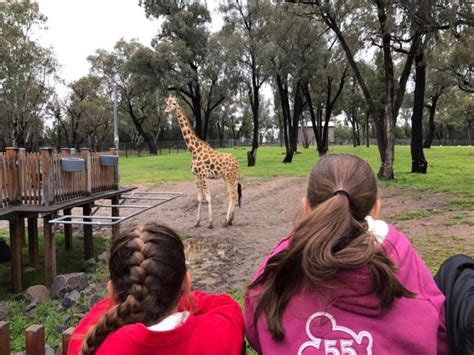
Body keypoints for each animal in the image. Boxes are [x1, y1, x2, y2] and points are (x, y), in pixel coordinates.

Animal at [166, 94, 241, 228]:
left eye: (174, 103)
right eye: (167, 102)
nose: (166, 110)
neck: (194, 150)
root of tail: (237, 163)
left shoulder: (203, 175)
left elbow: (208, 197)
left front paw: (210, 223)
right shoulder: (196, 176)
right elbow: (200, 198)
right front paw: (197, 222)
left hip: (230, 177)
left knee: (233, 194)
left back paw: (227, 221)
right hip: (227, 177)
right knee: (232, 195)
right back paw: (229, 220)